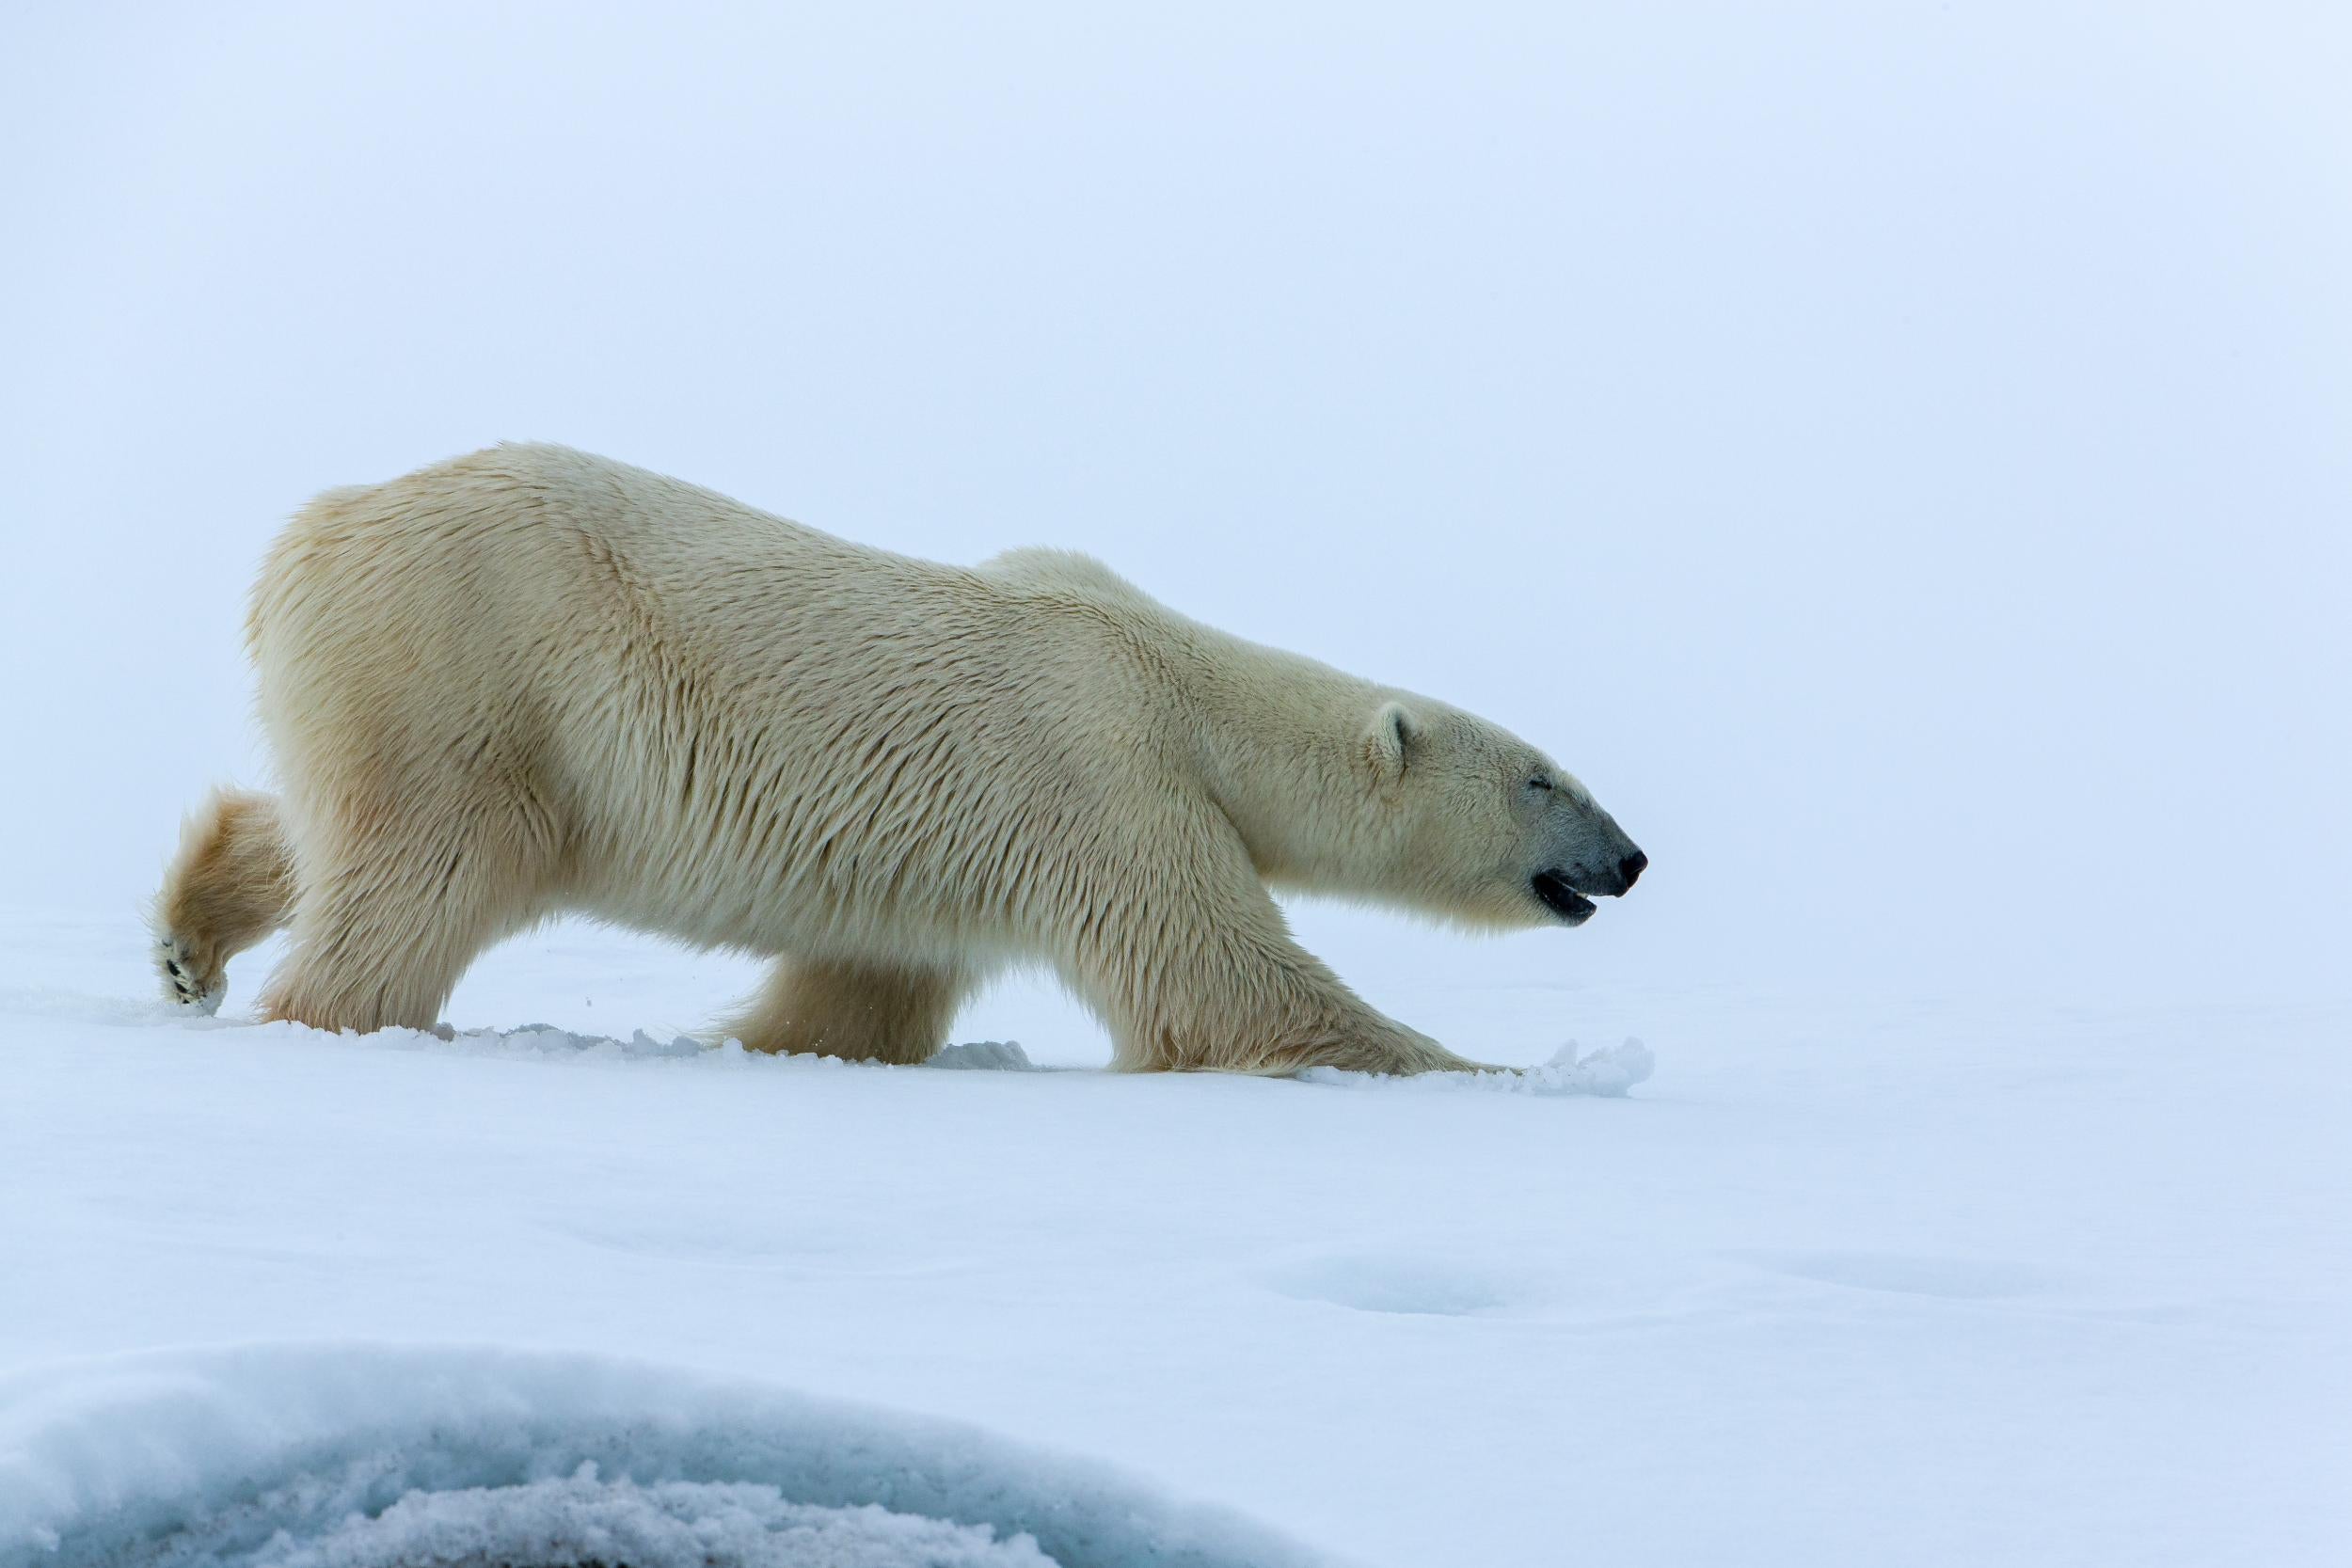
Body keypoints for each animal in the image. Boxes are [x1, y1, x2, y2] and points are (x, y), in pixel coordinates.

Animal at [156, 446, 1646, 1071]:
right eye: (1544, 778)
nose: (1630, 858)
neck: (1177, 679)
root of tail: (313, 535)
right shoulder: (1104, 769)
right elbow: (1220, 978)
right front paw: (1501, 1073)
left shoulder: (947, 851)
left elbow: (864, 992)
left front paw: (773, 1047)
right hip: (481, 662)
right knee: (430, 867)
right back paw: (343, 1018)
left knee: (340, 827)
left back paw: (191, 934)